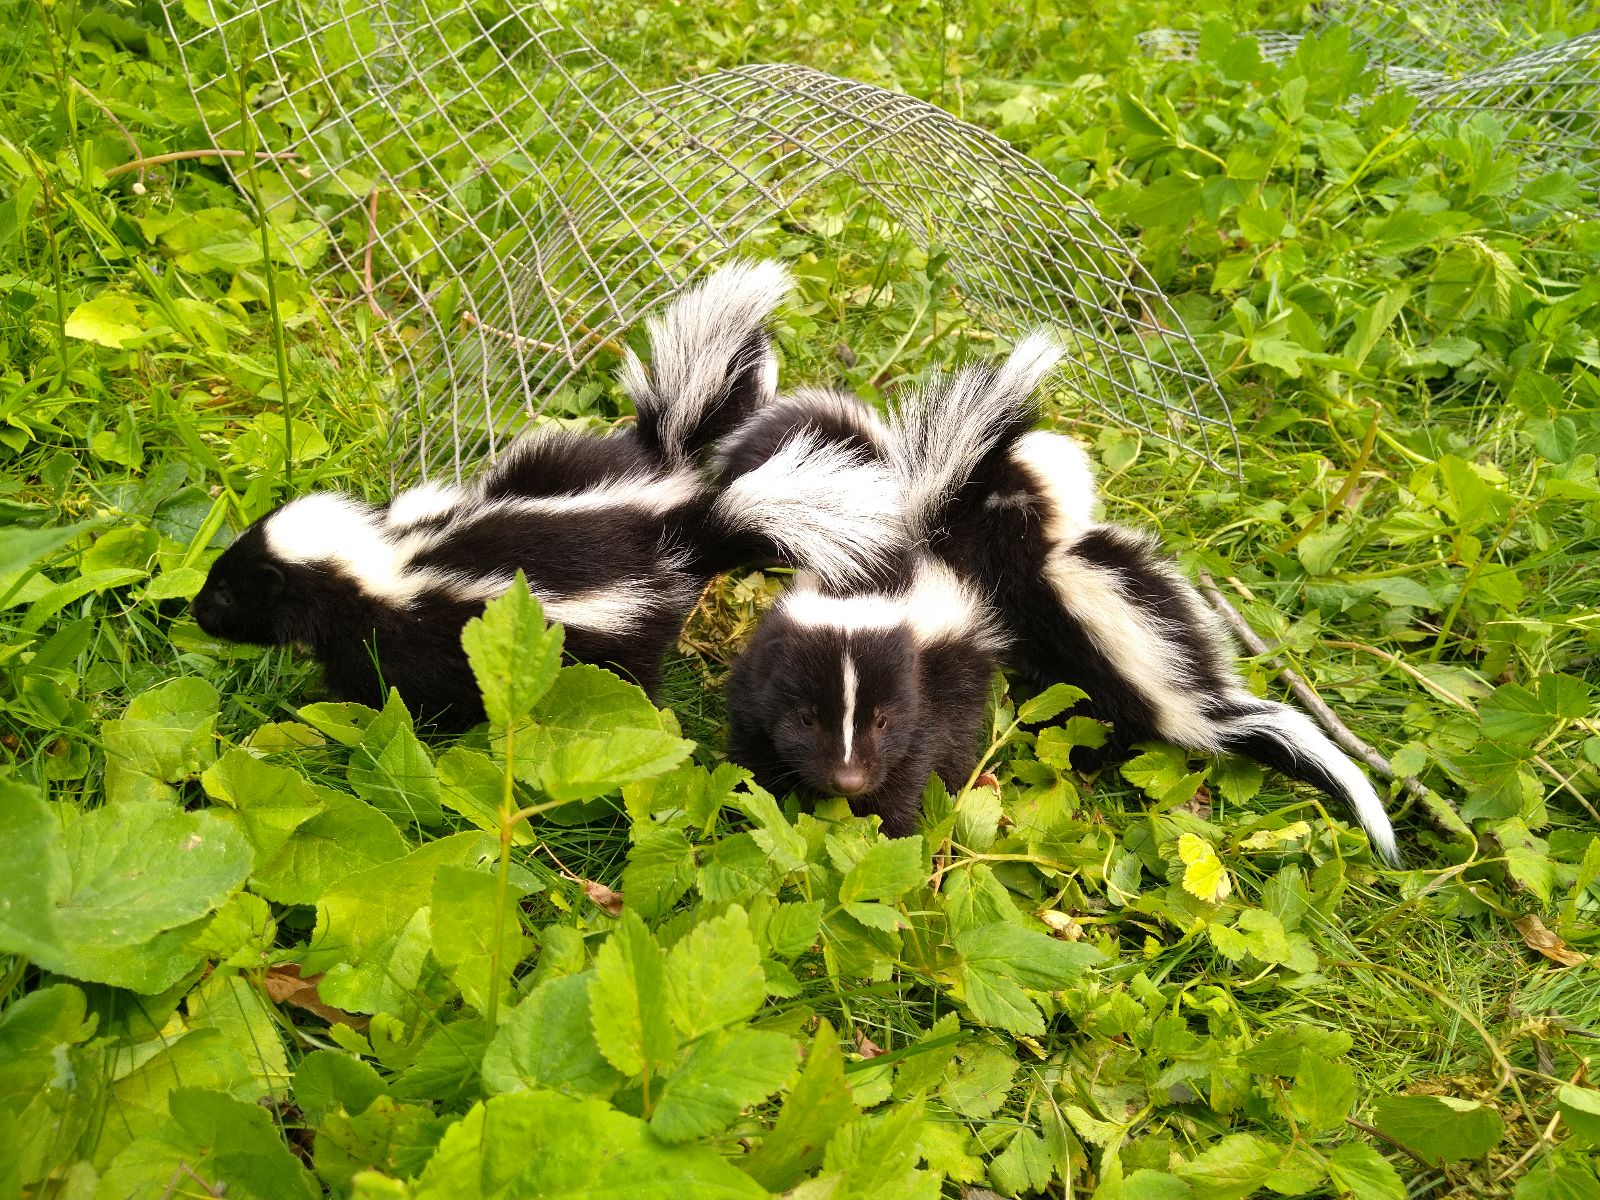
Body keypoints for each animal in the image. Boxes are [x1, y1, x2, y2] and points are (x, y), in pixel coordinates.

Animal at [190, 262, 902, 729]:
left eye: (228, 590)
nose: (193, 612)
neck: (385, 563)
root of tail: (675, 504)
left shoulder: (417, 641)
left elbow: (405, 696)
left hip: (620, 637)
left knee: (633, 680)